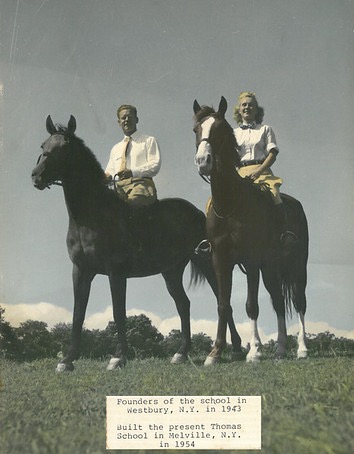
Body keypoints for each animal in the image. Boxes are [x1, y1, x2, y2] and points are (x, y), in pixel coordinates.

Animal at [31, 115, 241, 370]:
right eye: (43, 146)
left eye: (64, 147)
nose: (36, 176)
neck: (91, 217)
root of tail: (200, 213)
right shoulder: (81, 271)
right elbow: (78, 314)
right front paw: (67, 360)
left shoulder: (116, 272)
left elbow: (118, 312)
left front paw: (118, 357)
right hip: (171, 271)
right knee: (184, 304)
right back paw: (181, 353)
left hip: (207, 262)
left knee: (222, 299)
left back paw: (235, 349)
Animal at [192, 96, 308, 366]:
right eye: (196, 130)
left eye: (220, 130)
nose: (203, 162)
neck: (231, 203)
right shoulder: (220, 260)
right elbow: (224, 304)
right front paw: (215, 353)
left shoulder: (251, 261)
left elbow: (251, 305)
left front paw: (254, 351)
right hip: (271, 267)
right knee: (278, 301)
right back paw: (280, 349)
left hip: (298, 265)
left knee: (299, 302)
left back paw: (302, 349)